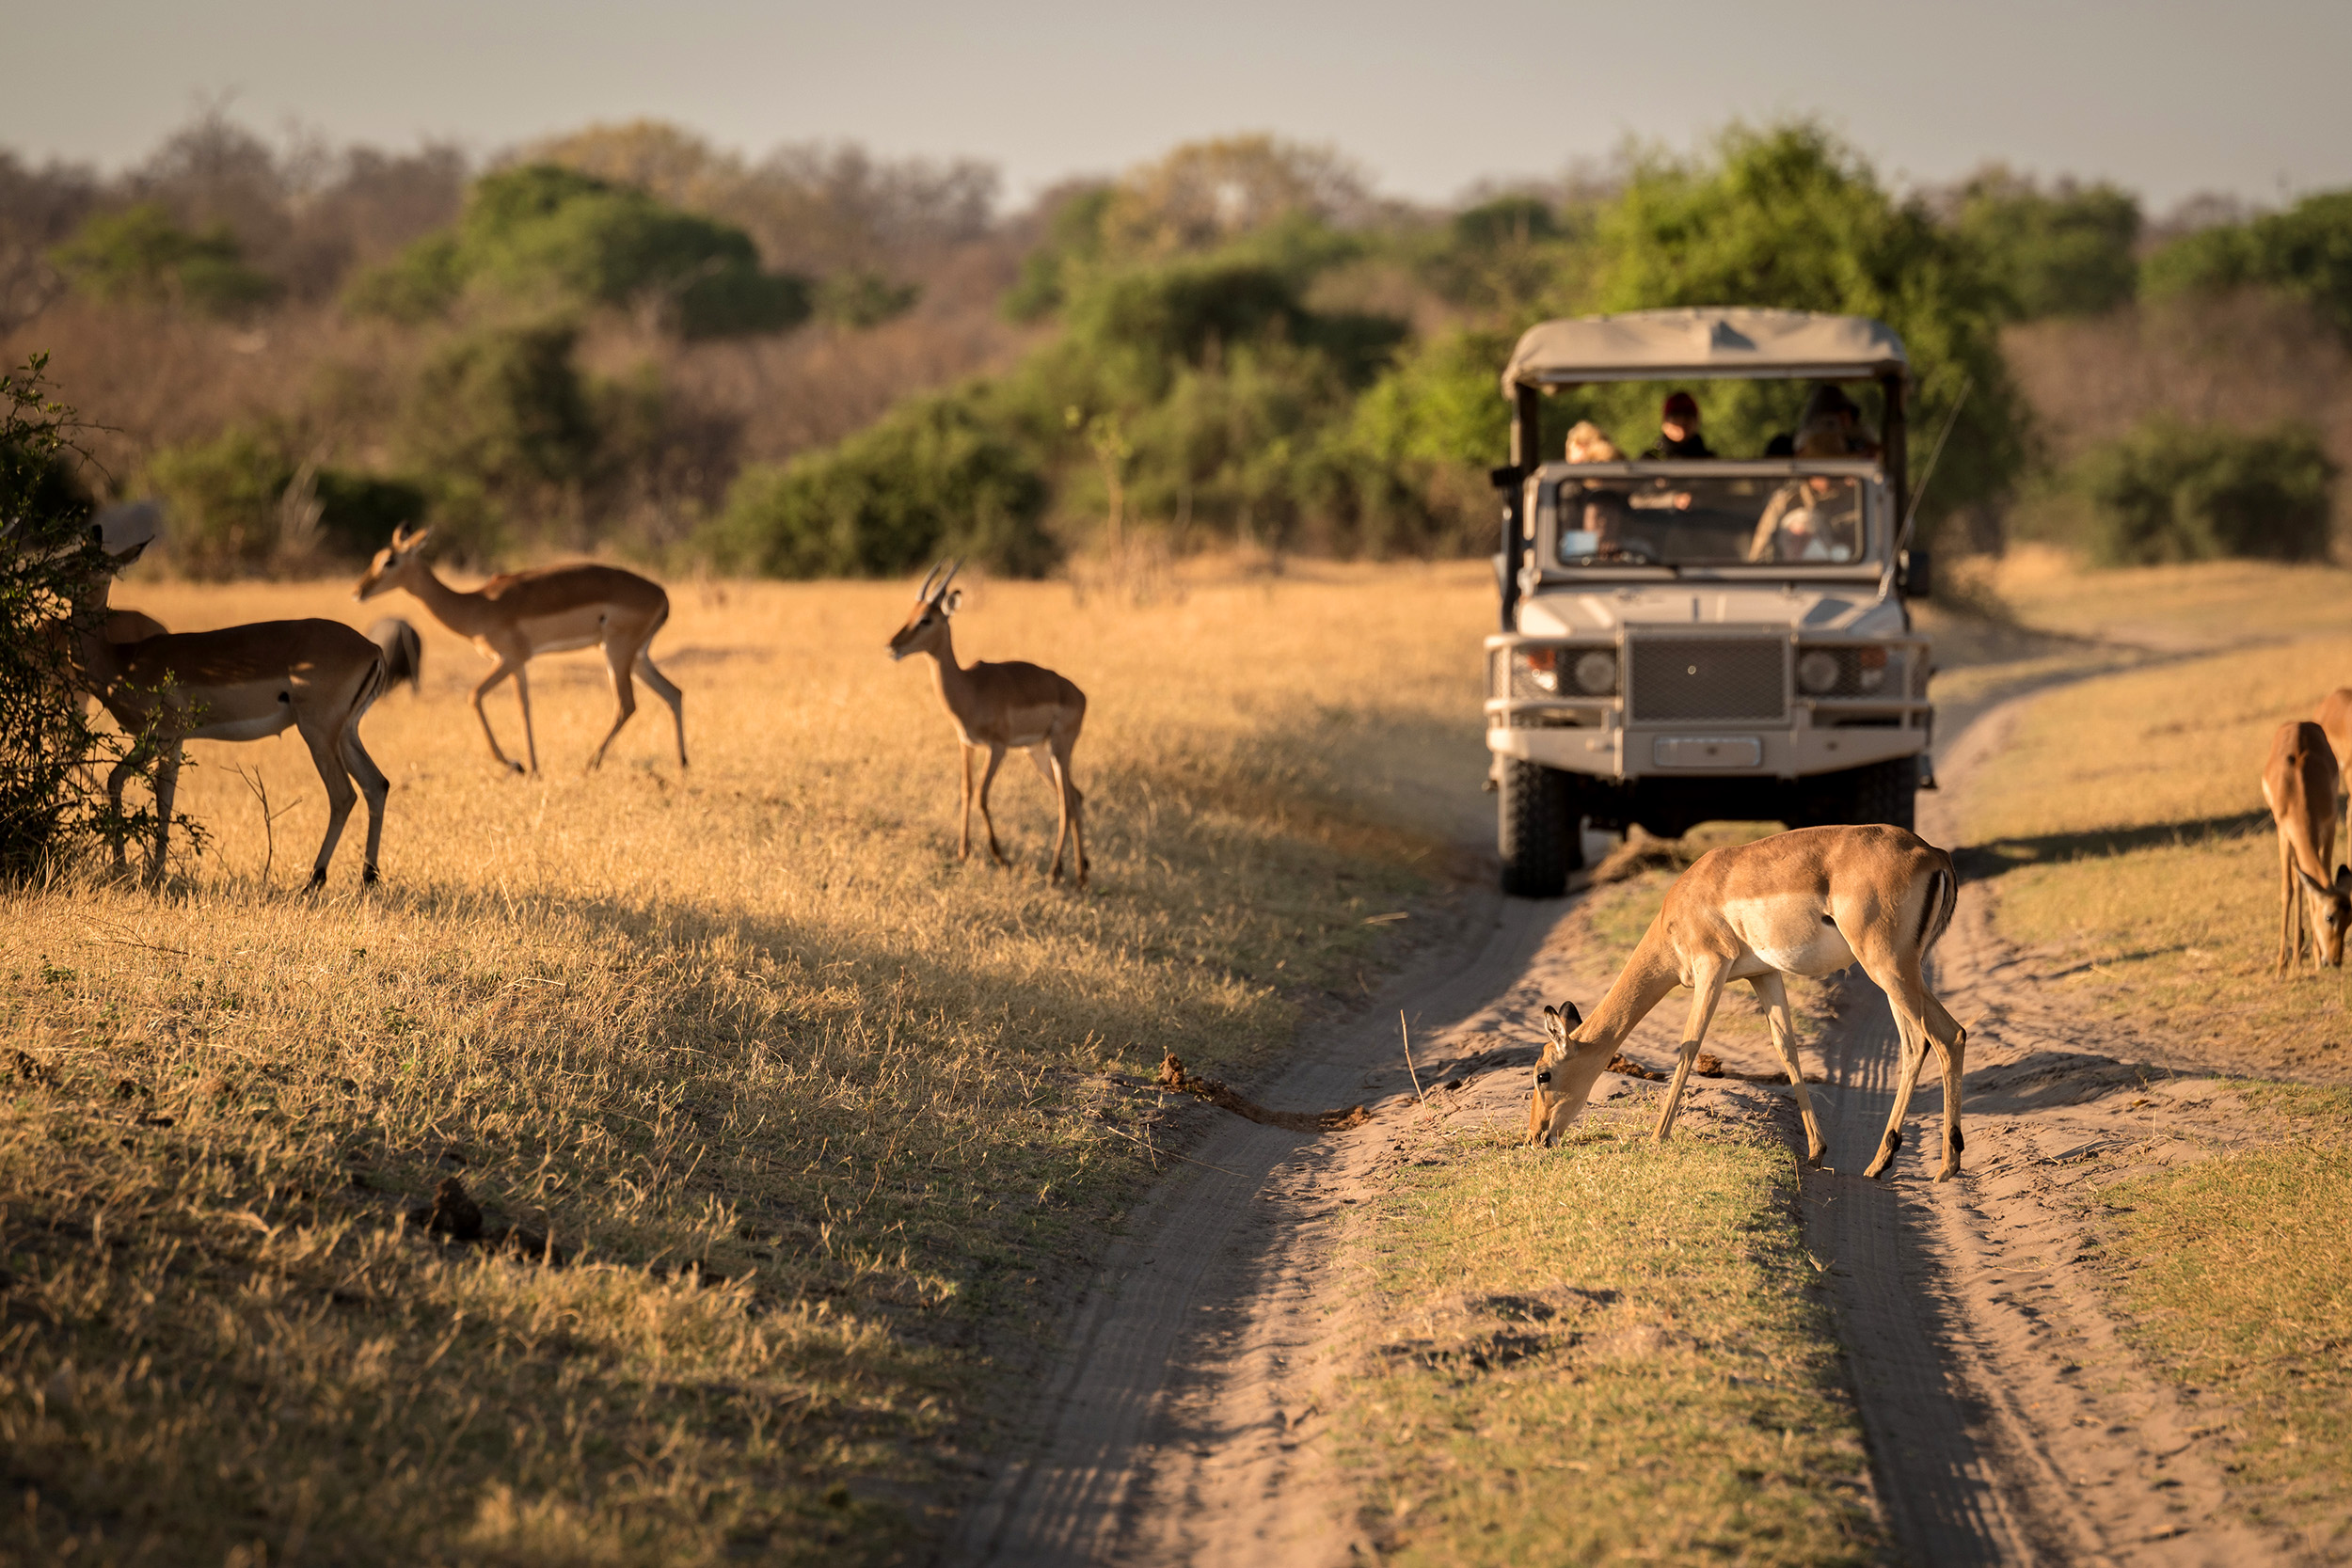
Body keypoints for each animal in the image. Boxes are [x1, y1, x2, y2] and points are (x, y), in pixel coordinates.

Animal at [72, 512, 390, 883]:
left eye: (99, 567)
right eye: (73, 559)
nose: (67, 584)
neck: (122, 660)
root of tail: (372, 648)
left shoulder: (162, 736)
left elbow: (151, 796)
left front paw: (145, 872)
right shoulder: (172, 741)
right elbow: (136, 787)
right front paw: (131, 868)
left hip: (318, 733)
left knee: (343, 795)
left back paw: (314, 881)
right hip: (346, 732)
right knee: (376, 785)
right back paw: (368, 878)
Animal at [348, 526, 687, 770]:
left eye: (390, 560)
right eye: (377, 556)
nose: (357, 591)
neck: (477, 607)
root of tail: (663, 596)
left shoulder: (509, 658)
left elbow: (474, 696)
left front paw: (513, 763)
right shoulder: (519, 664)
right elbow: (524, 707)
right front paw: (532, 766)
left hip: (616, 652)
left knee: (627, 704)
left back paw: (591, 763)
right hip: (637, 657)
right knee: (673, 693)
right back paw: (683, 765)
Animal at [884, 562, 1087, 883]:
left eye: (926, 619)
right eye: (910, 613)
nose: (892, 646)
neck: (971, 688)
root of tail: (1079, 694)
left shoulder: (998, 747)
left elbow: (981, 794)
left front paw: (1001, 857)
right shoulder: (966, 743)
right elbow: (966, 791)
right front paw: (963, 851)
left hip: (1059, 748)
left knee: (1065, 802)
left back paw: (1055, 872)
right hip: (1038, 752)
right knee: (1075, 797)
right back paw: (1081, 875)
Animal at [1524, 827, 1966, 1184]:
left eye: (1543, 1075)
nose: (1536, 1137)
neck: (1682, 906)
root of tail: (1933, 854)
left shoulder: (1711, 968)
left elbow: (1689, 1047)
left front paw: (1656, 1138)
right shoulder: (1764, 974)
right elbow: (1786, 1049)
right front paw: (1816, 1151)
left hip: (1887, 966)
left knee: (1950, 1035)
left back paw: (1947, 1165)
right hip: (1896, 973)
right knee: (1916, 1045)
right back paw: (1879, 1163)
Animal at [2249, 719, 2343, 968]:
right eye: (2330, 917)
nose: (2335, 960)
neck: (2299, 788)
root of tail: (2298, 723)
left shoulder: (2329, 826)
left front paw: (2316, 958)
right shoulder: (2283, 832)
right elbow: (2287, 889)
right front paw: (2282, 964)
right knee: (2297, 883)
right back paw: (2296, 957)